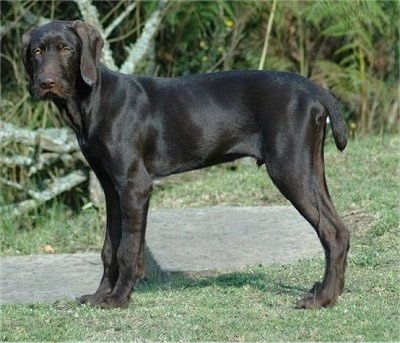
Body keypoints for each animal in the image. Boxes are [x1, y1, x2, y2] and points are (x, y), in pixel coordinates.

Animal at [21, 20, 348, 310]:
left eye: (66, 49)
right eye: (37, 51)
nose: (45, 83)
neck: (94, 102)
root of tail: (313, 89)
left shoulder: (134, 185)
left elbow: (127, 248)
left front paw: (118, 298)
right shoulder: (111, 187)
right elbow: (109, 248)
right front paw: (100, 295)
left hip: (288, 169)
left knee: (330, 232)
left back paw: (322, 299)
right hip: (311, 169)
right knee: (340, 230)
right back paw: (330, 291)